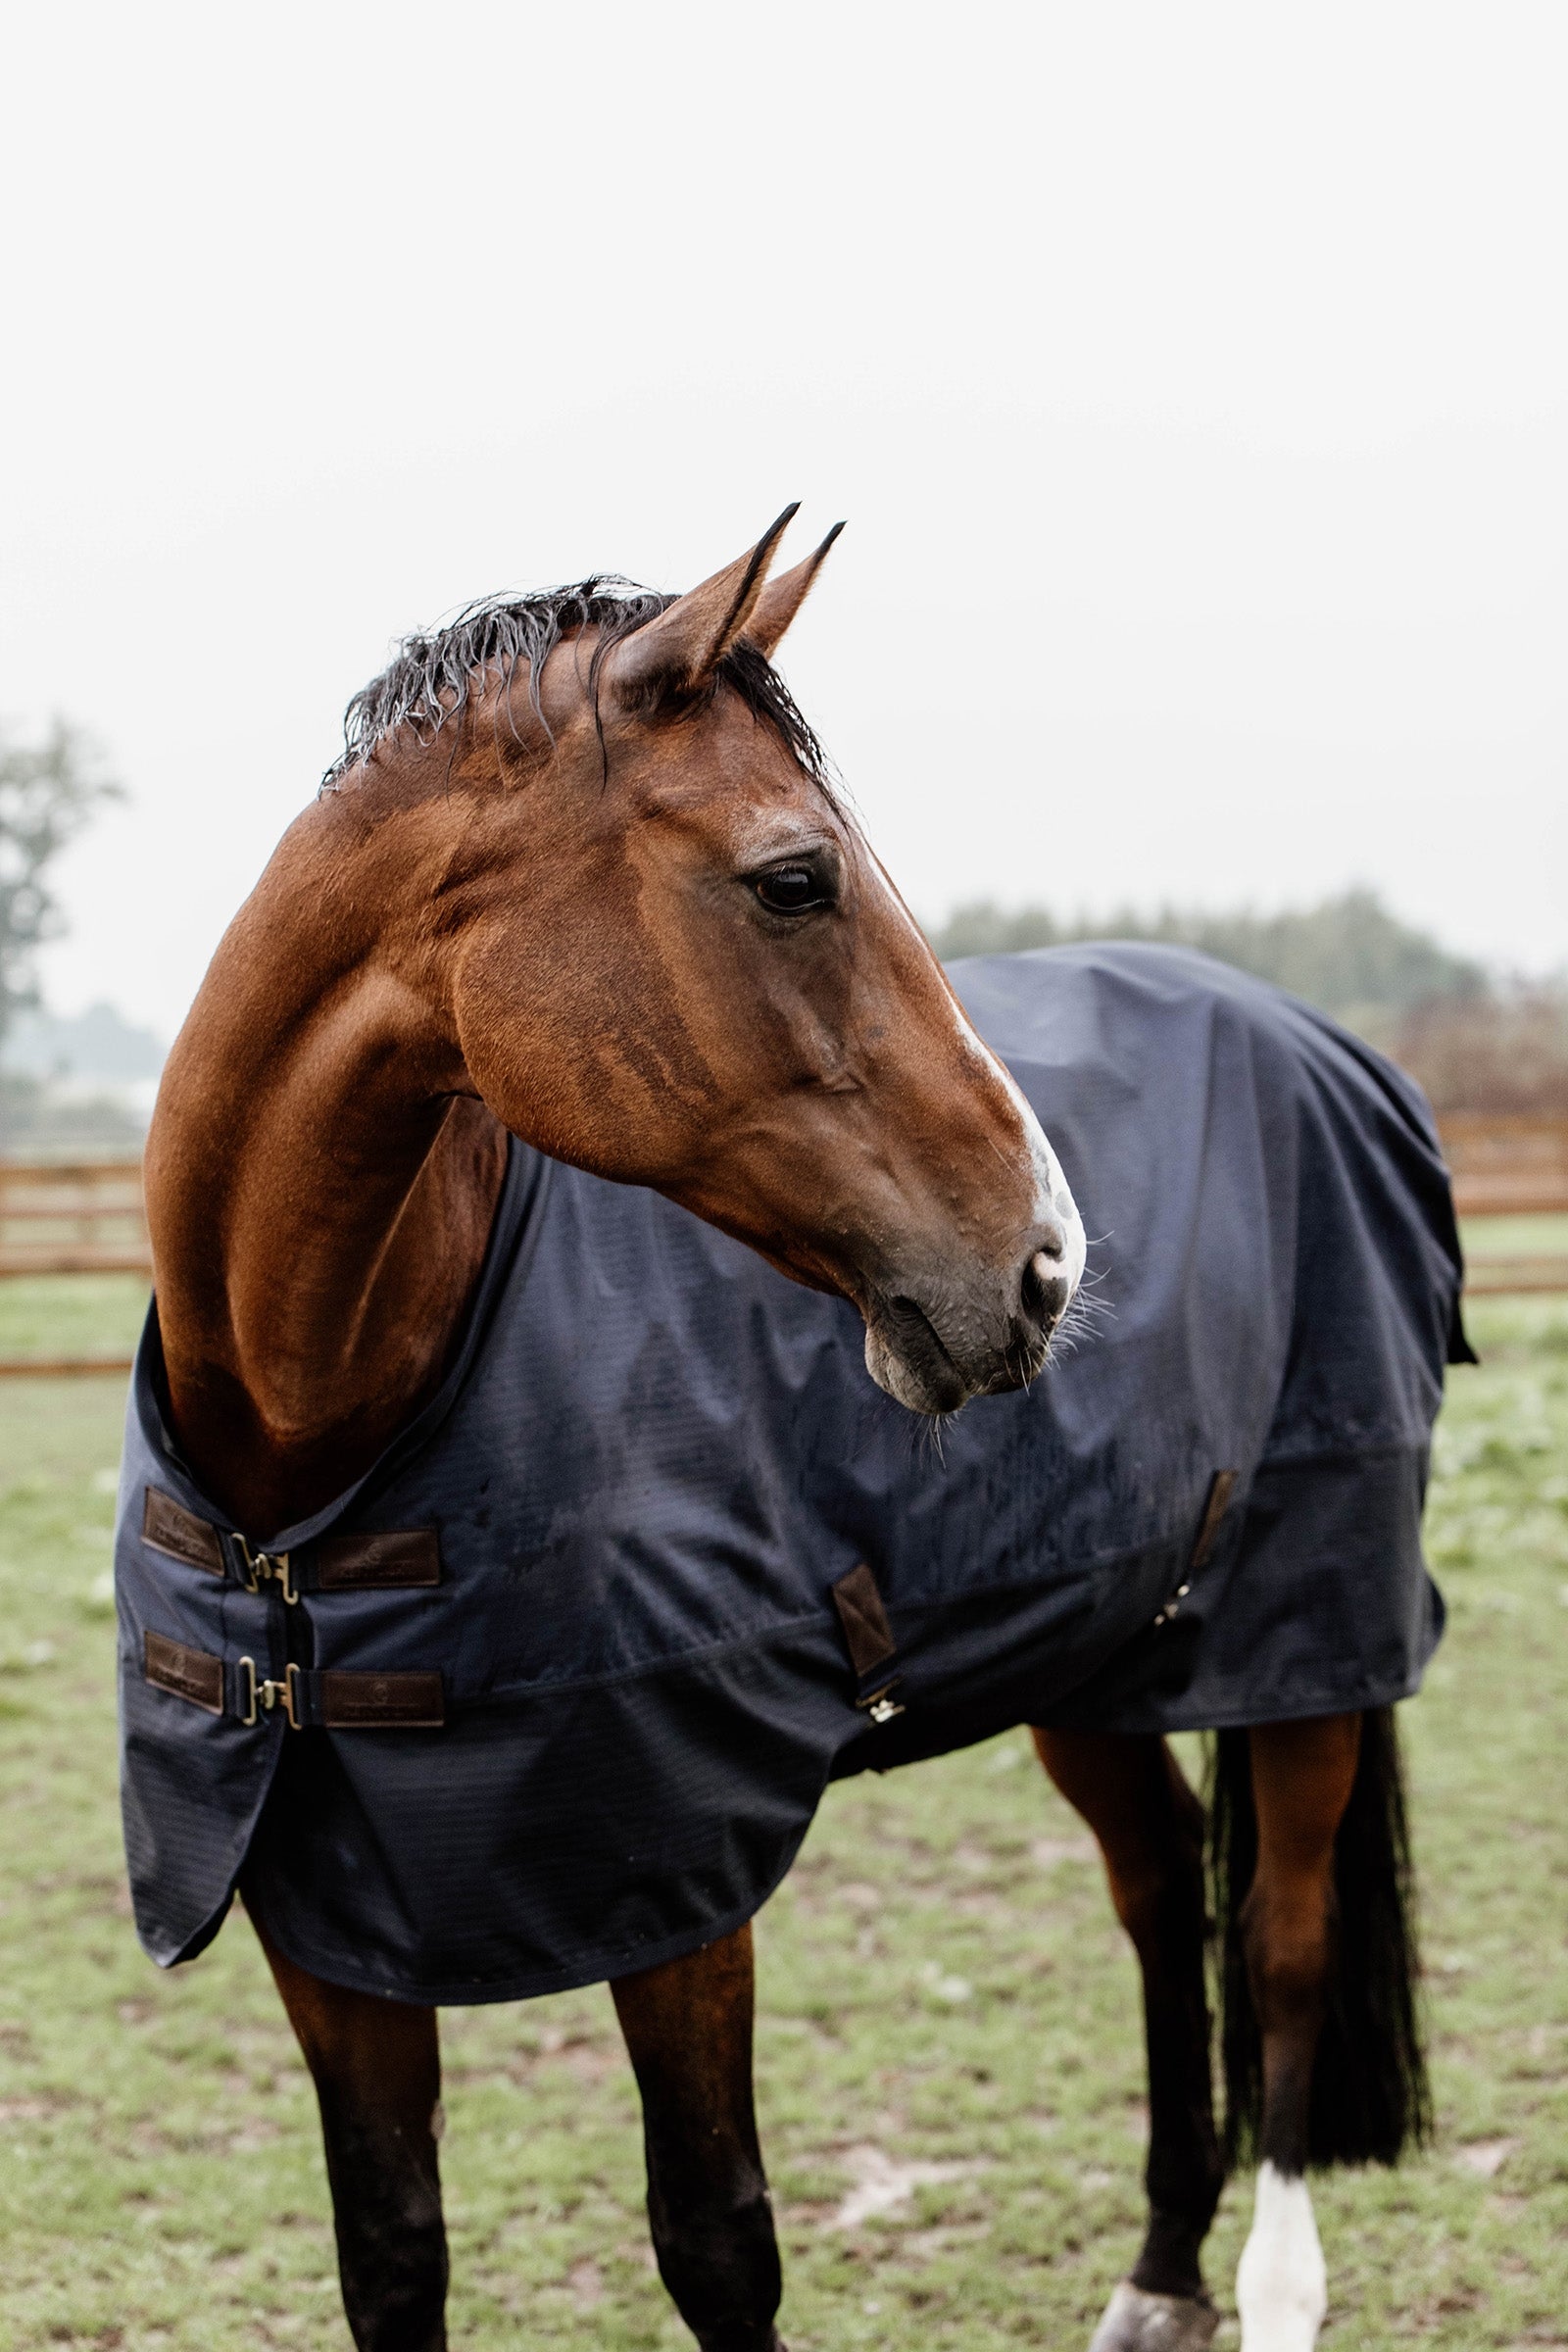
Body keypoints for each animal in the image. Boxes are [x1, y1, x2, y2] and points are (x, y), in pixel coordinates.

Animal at [119, 510, 1458, 2352]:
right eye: (794, 880)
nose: (1046, 1264)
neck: (309, 1471)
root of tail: (1322, 1046)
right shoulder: (323, 1929)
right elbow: (391, 2253)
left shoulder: (680, 1891)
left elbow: (717, 2244)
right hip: (1093, 1659)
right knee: (1159, 1896)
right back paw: (1159, 2271)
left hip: (1304, 1640)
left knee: (1279, 1945)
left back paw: (1268, 2286)